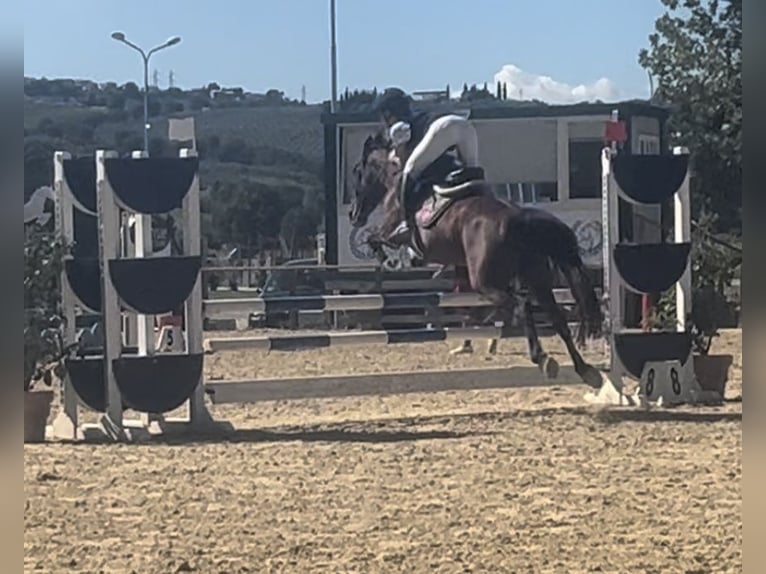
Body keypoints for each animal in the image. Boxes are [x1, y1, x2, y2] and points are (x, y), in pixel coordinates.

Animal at [348, 132, 608, 392]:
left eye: (358, 172)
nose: (353, 215)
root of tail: (519, 218)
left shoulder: (392, 232)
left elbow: (375, 239)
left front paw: (388, 259)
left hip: (486, 282)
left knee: (521, 305)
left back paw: (542, 358)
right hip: (536, 280)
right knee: (557, 318)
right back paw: (585, 371)